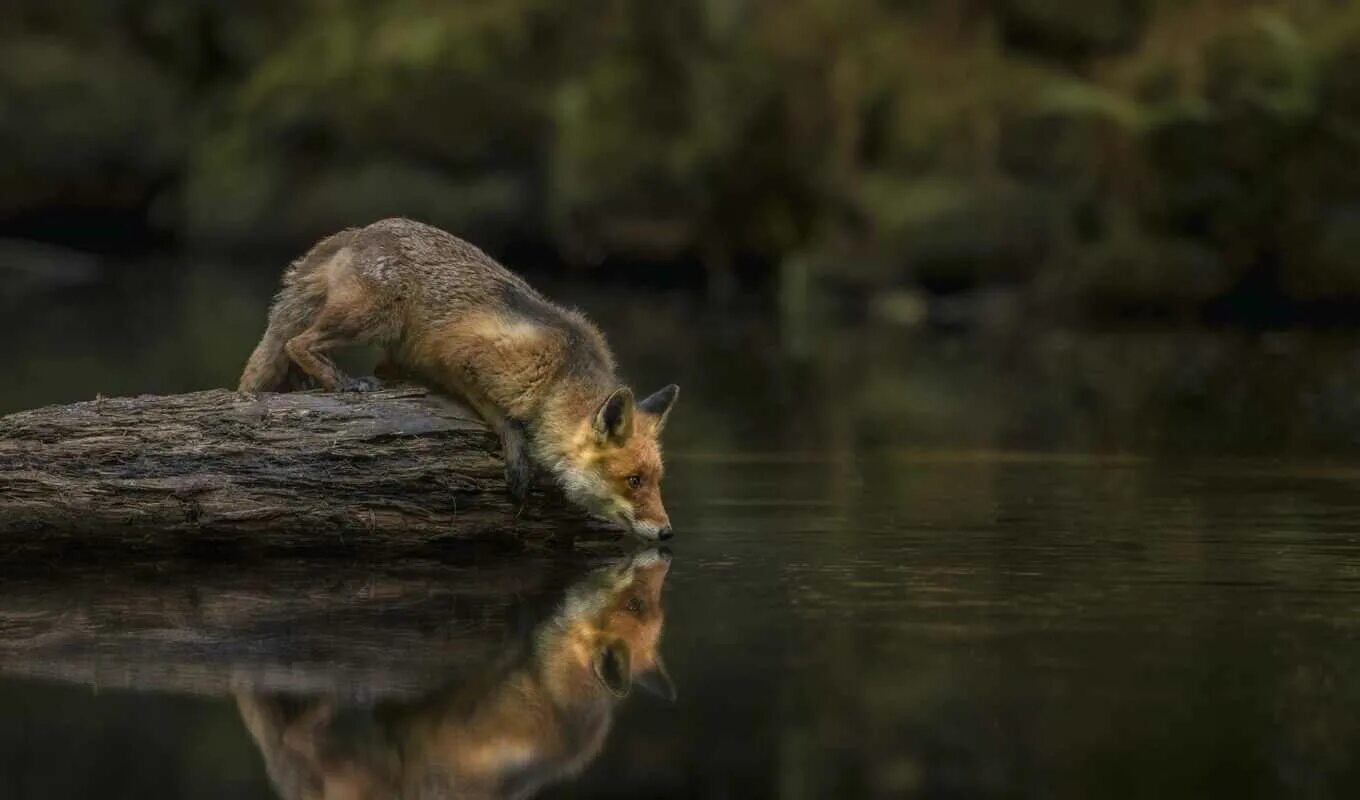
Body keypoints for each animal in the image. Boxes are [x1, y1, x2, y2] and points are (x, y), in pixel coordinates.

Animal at [238, 218, 679, 539]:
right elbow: (500, 414)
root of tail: (361, 230)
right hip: (373, 318)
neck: (559, 375)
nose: (668, 533)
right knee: (297, 341)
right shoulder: (462, 358)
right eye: (633, 480)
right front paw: (517, 450)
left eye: (657, 481)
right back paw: (340, 382)